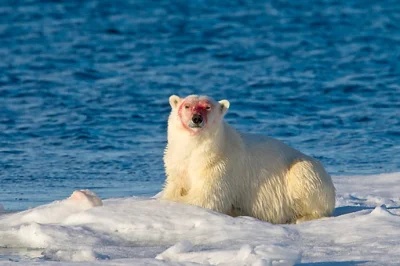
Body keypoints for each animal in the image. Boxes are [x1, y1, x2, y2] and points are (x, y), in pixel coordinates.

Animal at [161, 94, 336, 223]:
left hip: (306, 172)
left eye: (207, 107)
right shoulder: (177, 163)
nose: (196, 118)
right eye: (187, 106)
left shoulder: (220, 166)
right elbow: (173, 187)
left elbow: (206, 198)